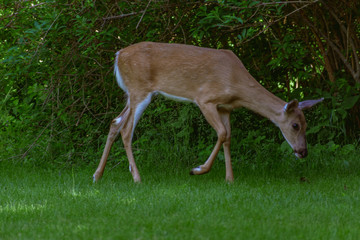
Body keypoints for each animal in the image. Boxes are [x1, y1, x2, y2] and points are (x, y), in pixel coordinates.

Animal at [93, 41, 324, 184]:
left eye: (307, 125)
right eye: (295, 125)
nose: (303, 152)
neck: (236, 83)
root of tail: (118, 55)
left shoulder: (226, 108)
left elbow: (228, 137)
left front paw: (230, 179)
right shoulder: (205, 99)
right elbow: (221, 133)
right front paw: (198, 169)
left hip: (131, 94)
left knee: (115, 122)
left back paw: (98, 175)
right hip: (140, 90)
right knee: (126, 130)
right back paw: (137, 178)